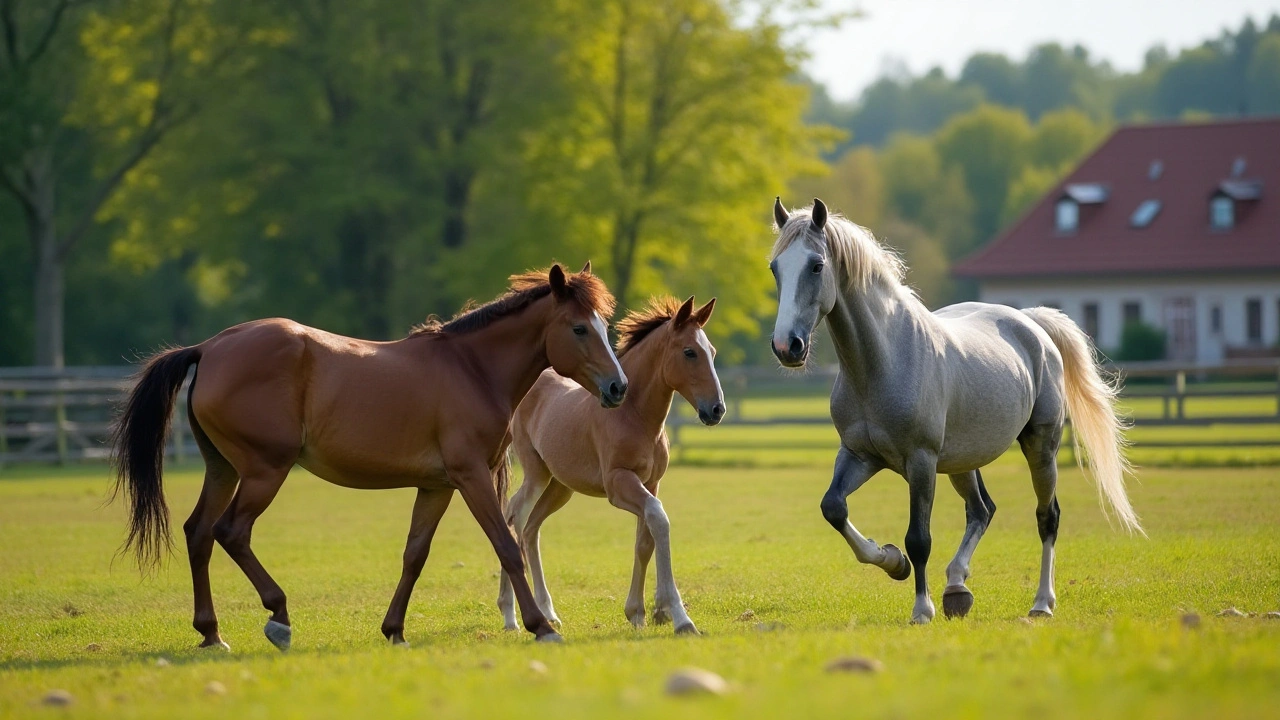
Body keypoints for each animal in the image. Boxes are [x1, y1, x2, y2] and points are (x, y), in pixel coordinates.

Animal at [115, 265, 624, 650]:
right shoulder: (471, 477)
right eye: (579, 328)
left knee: (199, 532)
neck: (472, 369)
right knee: (231, 532)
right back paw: (279, 618)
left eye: (602, 325)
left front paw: (394, 629)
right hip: (264, 471)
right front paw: (540, 626)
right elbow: (507, 545)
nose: (618, 387)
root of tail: (209, 348)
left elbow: (414, 555)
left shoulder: (437, 486)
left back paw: (211, 634)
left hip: (223, 470)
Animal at [496, 294, 727, 630]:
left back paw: (548, 612)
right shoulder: (618, 484)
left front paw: (643, 612)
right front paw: (679, 616)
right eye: (689, 352)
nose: (717, 409)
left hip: (560, 486)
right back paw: (510, 614)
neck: (634, 416)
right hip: (536, 474)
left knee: (530, 529)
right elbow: (659, 520)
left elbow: (646, 540)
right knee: (515, 514)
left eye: (712, 352)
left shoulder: (651, 484)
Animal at [768, 196, 1141, 622]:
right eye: (776, 268)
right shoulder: (859, 456)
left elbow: (919, 538)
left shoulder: (921, 462)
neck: (884, 361)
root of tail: (1031, 322)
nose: (786, 346)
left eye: (816, 265)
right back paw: (957, 587)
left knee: (1047, 517)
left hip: (1040, 447)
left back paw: (1041, 603)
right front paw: (892, 561)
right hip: (963, 462)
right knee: (982, 510)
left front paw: (921, 608)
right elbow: (833, 508)